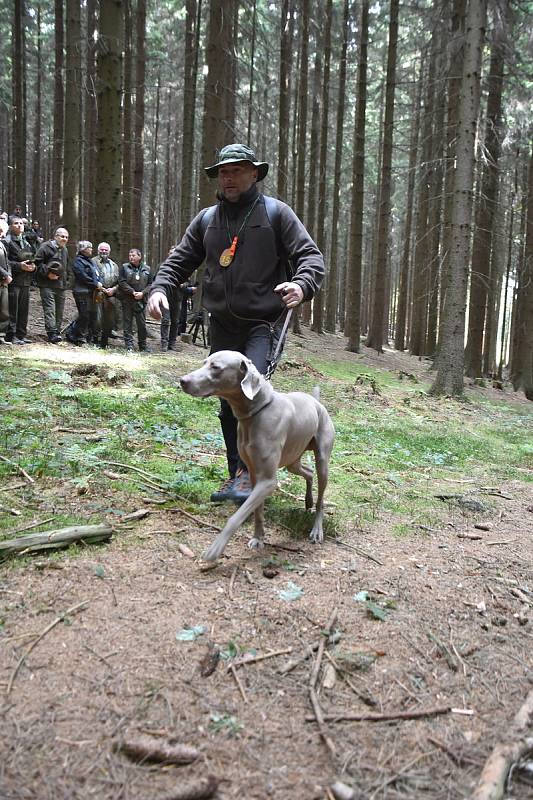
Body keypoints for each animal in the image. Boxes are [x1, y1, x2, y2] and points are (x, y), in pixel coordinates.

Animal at [181, 350, 334, 564]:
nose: (182, 380)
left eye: (216, 367)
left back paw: (317, 529)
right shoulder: (255, 475)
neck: (256, 411)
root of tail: (316, 401)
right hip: (292, 460)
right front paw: (258, 538)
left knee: (321, 495)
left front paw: (215, 549)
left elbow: (237, 517)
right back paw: (307, 501)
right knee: (308, 472)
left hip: (322, 460)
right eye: (204, 362)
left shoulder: (268, 481)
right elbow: (257, 511)